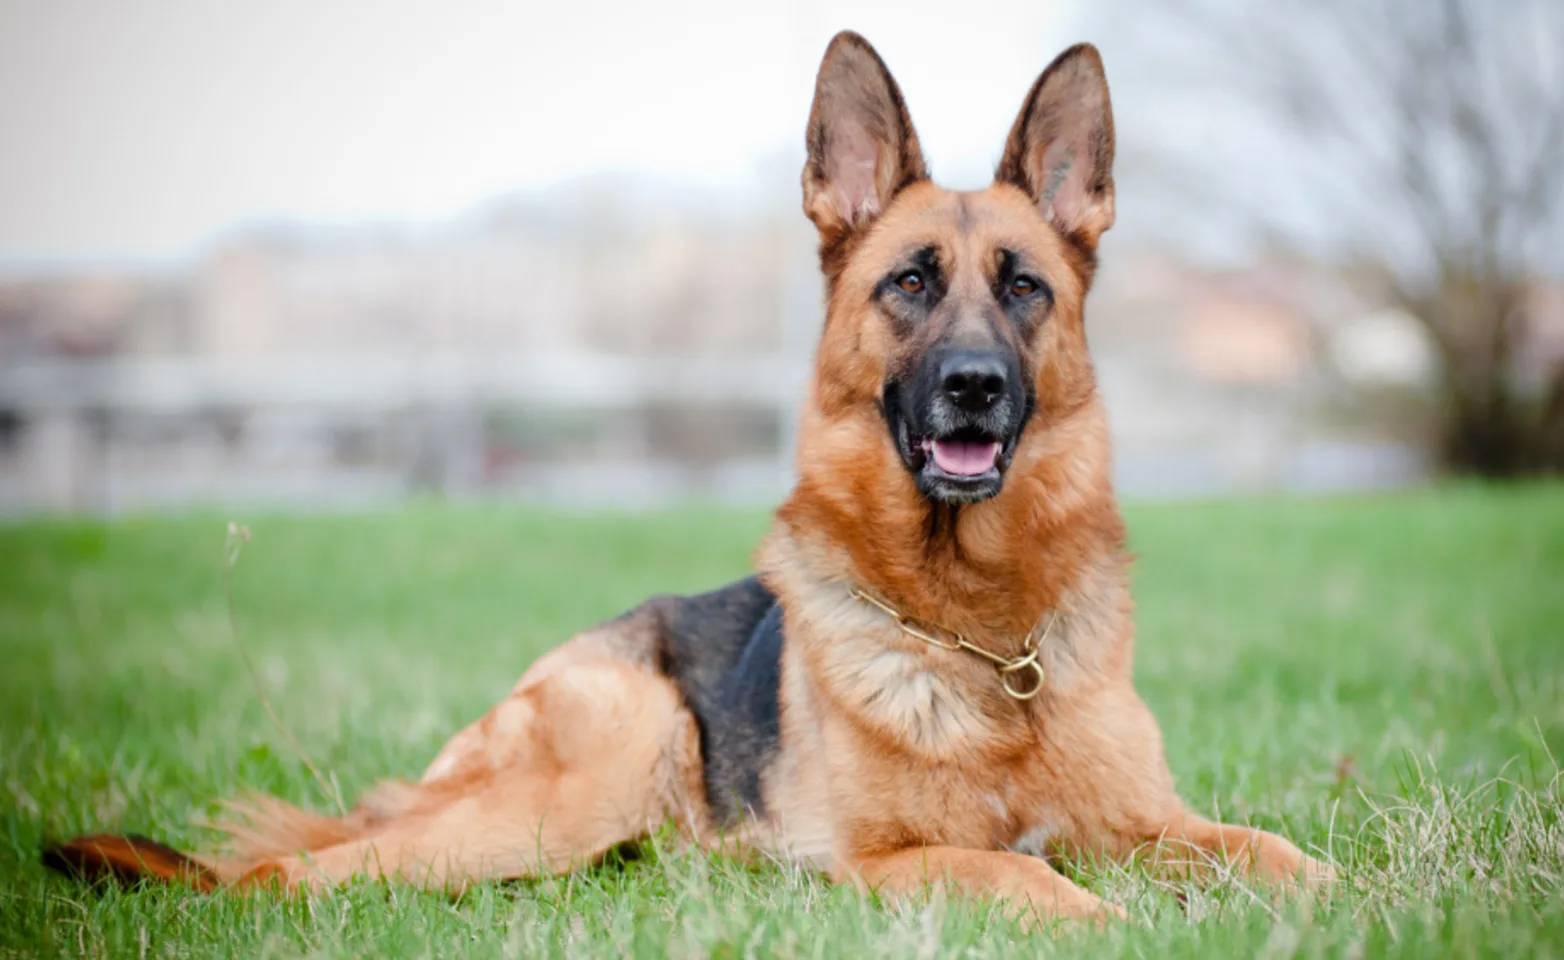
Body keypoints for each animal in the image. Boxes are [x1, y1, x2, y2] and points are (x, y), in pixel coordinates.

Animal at [48, 33, 1332, 931]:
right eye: (911, 282)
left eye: (1023, 287)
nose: (972, 386)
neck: (981, 636)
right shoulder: (886, 865)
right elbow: (1033, 881)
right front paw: (1117, 919)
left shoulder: (1153, 820)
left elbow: (1273, 851)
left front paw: (1338, 898)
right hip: (591, 774)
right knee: (292, 875)